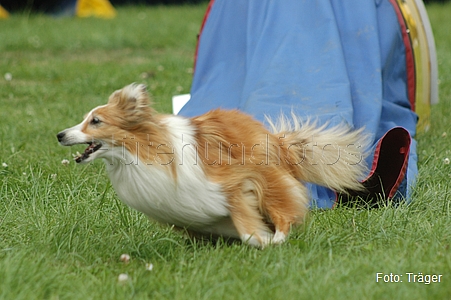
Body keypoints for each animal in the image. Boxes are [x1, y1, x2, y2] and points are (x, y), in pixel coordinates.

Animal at [57, 83, 368, 247]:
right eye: (86, 119)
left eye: (96, 121)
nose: (59, 134)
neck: (140, 152)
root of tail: (278, 141)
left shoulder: (234, 183)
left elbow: (248, 228)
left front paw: (264, 241)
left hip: (271, 179)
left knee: (283, 209)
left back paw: (279, 237)